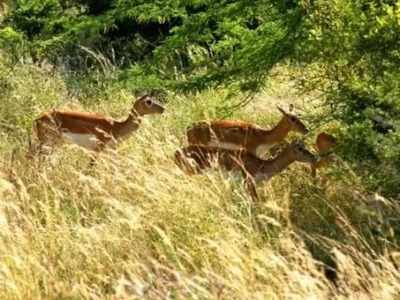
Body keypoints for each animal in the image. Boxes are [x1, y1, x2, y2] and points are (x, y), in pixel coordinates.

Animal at [28, 94, 164, 161]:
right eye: (149, 101)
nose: (163, 108)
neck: (116, 127)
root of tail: (37, 119)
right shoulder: (97, 149)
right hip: (47, 143)